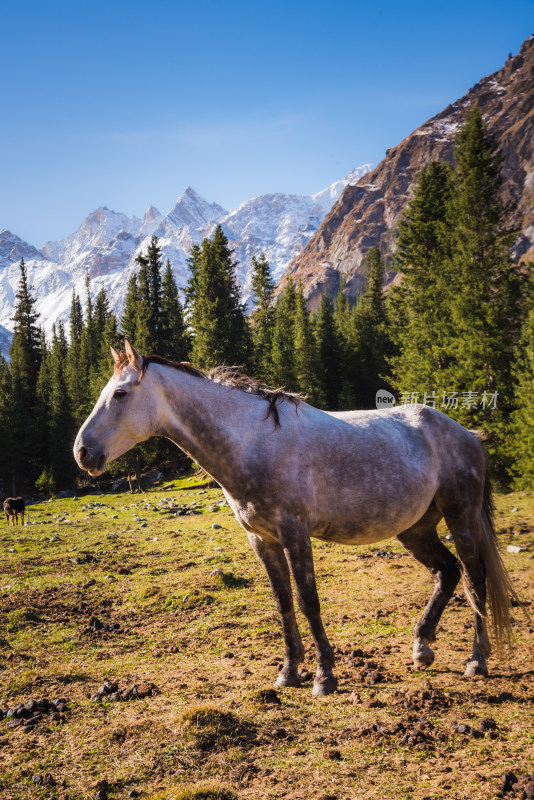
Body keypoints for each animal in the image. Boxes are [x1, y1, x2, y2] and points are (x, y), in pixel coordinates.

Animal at [73, 340, 516, 696]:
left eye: (120, 393)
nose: (82, 452)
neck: (251, 442)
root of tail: (467, 434)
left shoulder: (294, 533)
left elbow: (308, 600)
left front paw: (324, 676)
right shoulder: (262, 539)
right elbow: (283, 602)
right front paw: (288, 673)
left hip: (460, 517)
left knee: (475, 578)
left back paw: (476, 660)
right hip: (415, 528)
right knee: (447, 572)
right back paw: (422, 648)